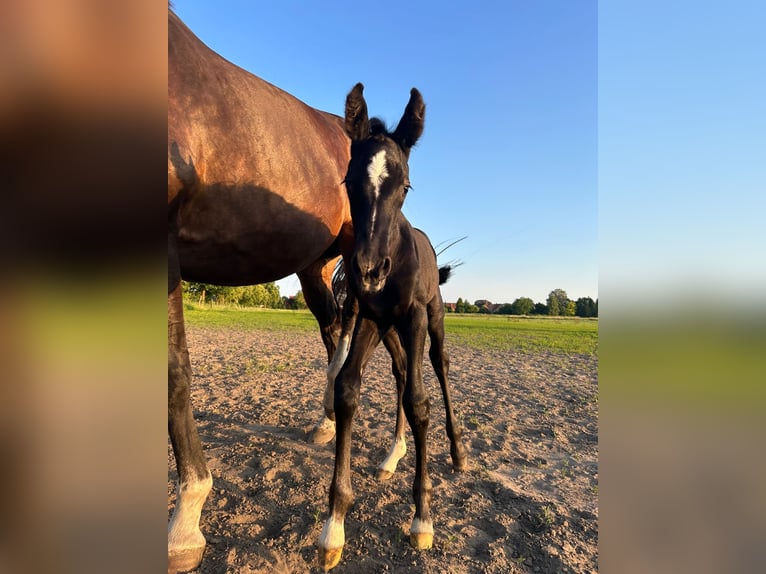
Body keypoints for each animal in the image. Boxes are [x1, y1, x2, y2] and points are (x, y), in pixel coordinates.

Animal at [318, 84, 468, 572]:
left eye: (404, 186)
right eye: (349, 182)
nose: (367, 271)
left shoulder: (414, 317)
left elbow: (420, 402)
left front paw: (422, 519)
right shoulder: (368, 317)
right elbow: (347, 389)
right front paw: (334, 526)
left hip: (431, 322)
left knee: (437, 368)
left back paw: (458, 453)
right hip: (387, 332)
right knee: (401, 372)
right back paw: (391, 455)